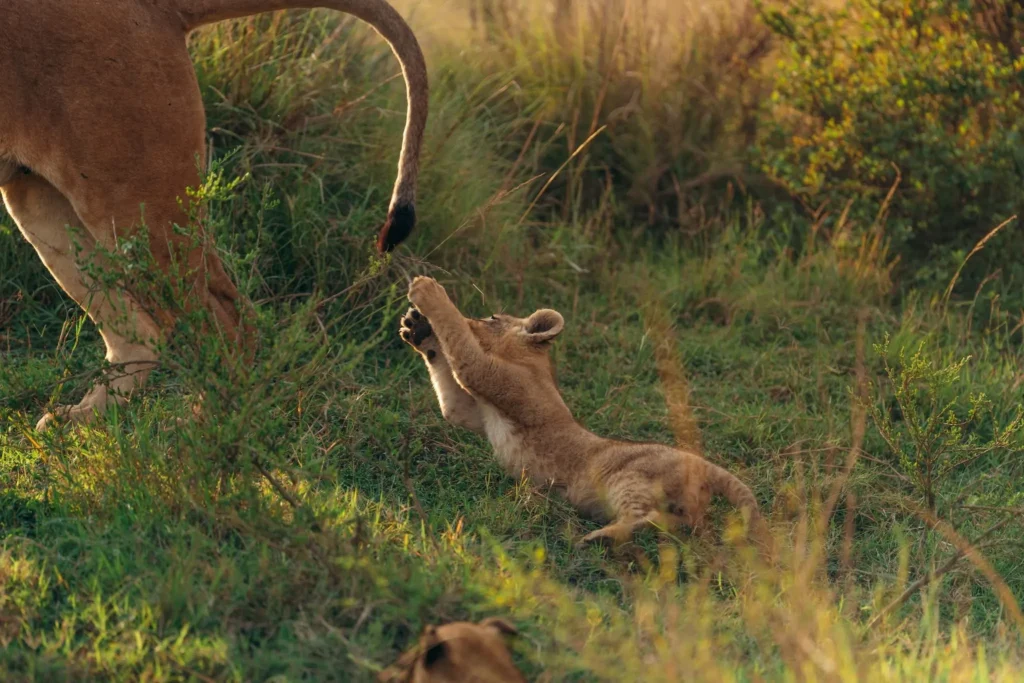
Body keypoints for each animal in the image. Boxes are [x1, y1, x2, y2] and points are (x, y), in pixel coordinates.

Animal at [0, 0, 427, 430]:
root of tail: (157, 7)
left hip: (133, 204)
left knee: (228, 320)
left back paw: (197, 433)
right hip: (43, 202)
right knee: (144, 334)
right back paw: (81, 420)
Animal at [400, 276, 770, 550]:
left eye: (492, 318)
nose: (479, 317)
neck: (531, 361)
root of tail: (705, 464)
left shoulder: (495, 378)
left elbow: (461, 343)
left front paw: (427, 292)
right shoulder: (474, 409)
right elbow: (451, 397)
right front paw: (417, 330)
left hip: (627, 477)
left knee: (644, 516)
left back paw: (596, 538)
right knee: (674, 524)